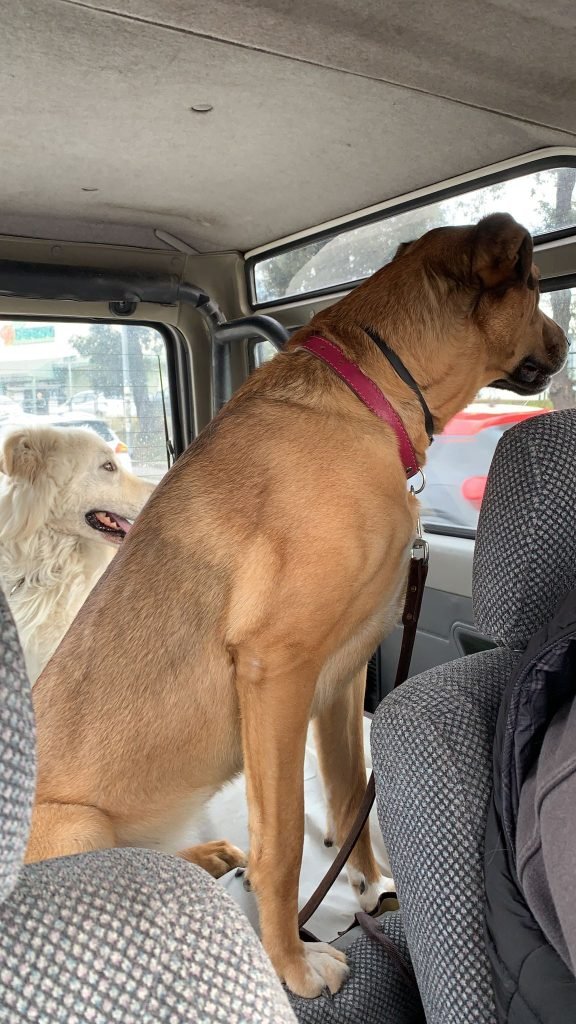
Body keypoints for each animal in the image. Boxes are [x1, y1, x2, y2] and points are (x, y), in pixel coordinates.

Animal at [26, 214, 567, 997]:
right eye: (532, 284)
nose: (563, 344)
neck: (373, 396)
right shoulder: (275, 671)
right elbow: (281, 841)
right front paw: (291, 962)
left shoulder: (339, 682)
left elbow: (348, 799)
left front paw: (372, 885)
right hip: (77, 827)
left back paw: (206, 856)